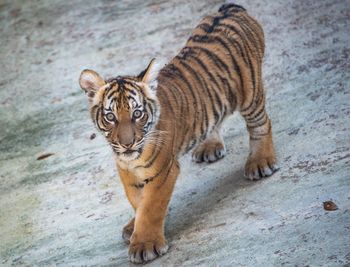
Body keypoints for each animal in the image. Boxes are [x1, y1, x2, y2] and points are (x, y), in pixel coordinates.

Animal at [78, 2, 278, 266]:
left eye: (137, 113)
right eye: (110, 117)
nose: (127, 143)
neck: (132, 158)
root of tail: (229, 9)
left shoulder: (163, 170)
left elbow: (150, 206)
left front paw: (145, 245)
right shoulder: (126, 170)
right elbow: (137, 201)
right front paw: (135, 227)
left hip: (250, 93)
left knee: (261, 124)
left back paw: (261, 162)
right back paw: (210, 147)